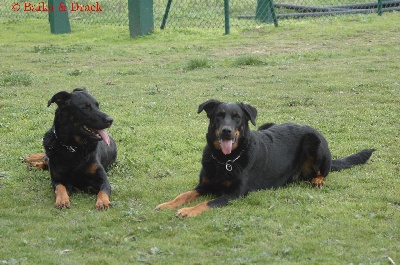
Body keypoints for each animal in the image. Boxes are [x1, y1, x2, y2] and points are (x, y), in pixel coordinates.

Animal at [157, 99, 376, 217]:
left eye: (237, 117)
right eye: (219, 115)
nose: (227, 131)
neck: (226, 160)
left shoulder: (235, 194)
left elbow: (208, 203)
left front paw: (188, 211)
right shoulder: (204, 185)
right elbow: (183, 195)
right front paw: (167, 204)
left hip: (314, 142)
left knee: (324, 171)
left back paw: (318, 180)